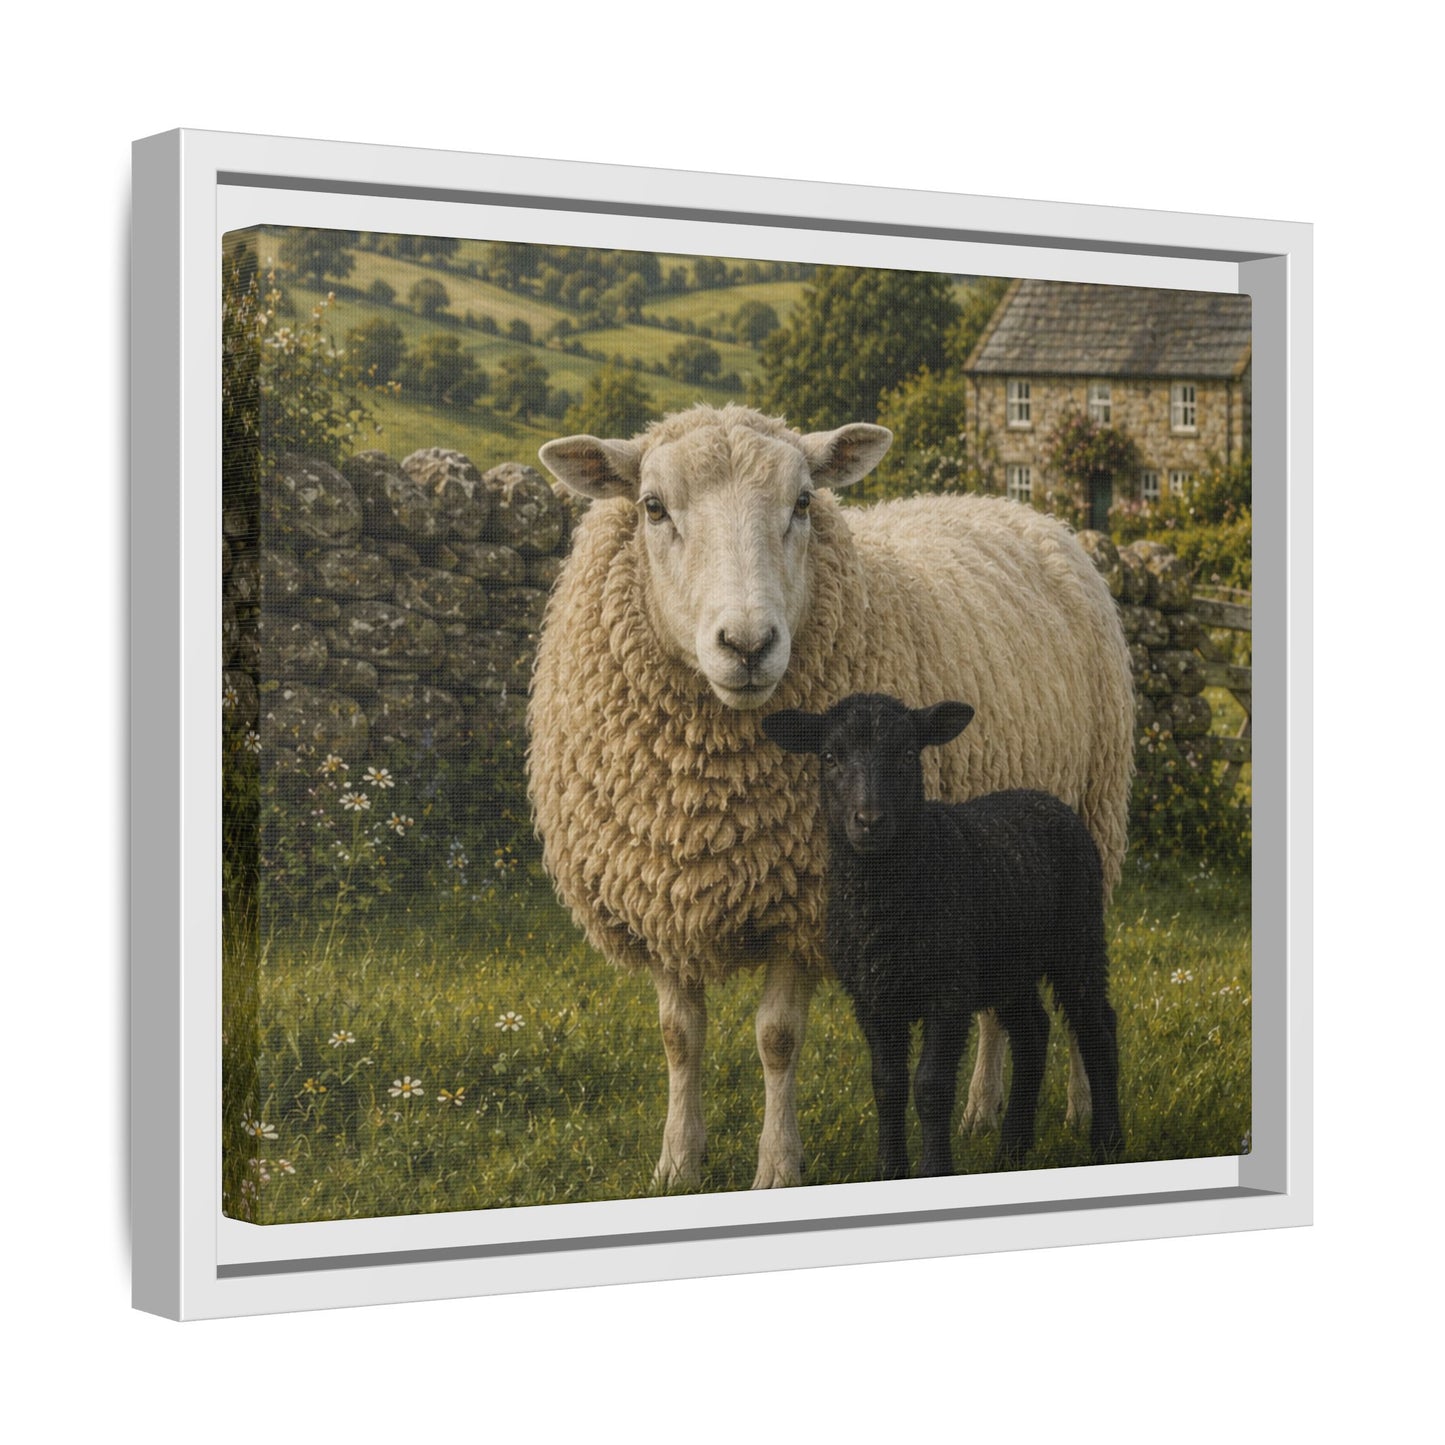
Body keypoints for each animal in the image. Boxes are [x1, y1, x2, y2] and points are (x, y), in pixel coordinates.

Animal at [762, 692, 1123, 1177]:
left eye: (907, 754)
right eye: (830, 757)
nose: (869, 820)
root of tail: (1047, 799)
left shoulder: (948, 992)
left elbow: (931, 1088)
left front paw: (934, 1169)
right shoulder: (873, 997)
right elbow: (887, 1085)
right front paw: (891, 1171)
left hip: (1079, 937)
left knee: (1097, 1027)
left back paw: (1107, 1142)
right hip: (1007, 965)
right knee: (1032, 1031)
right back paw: (1011, 1150)